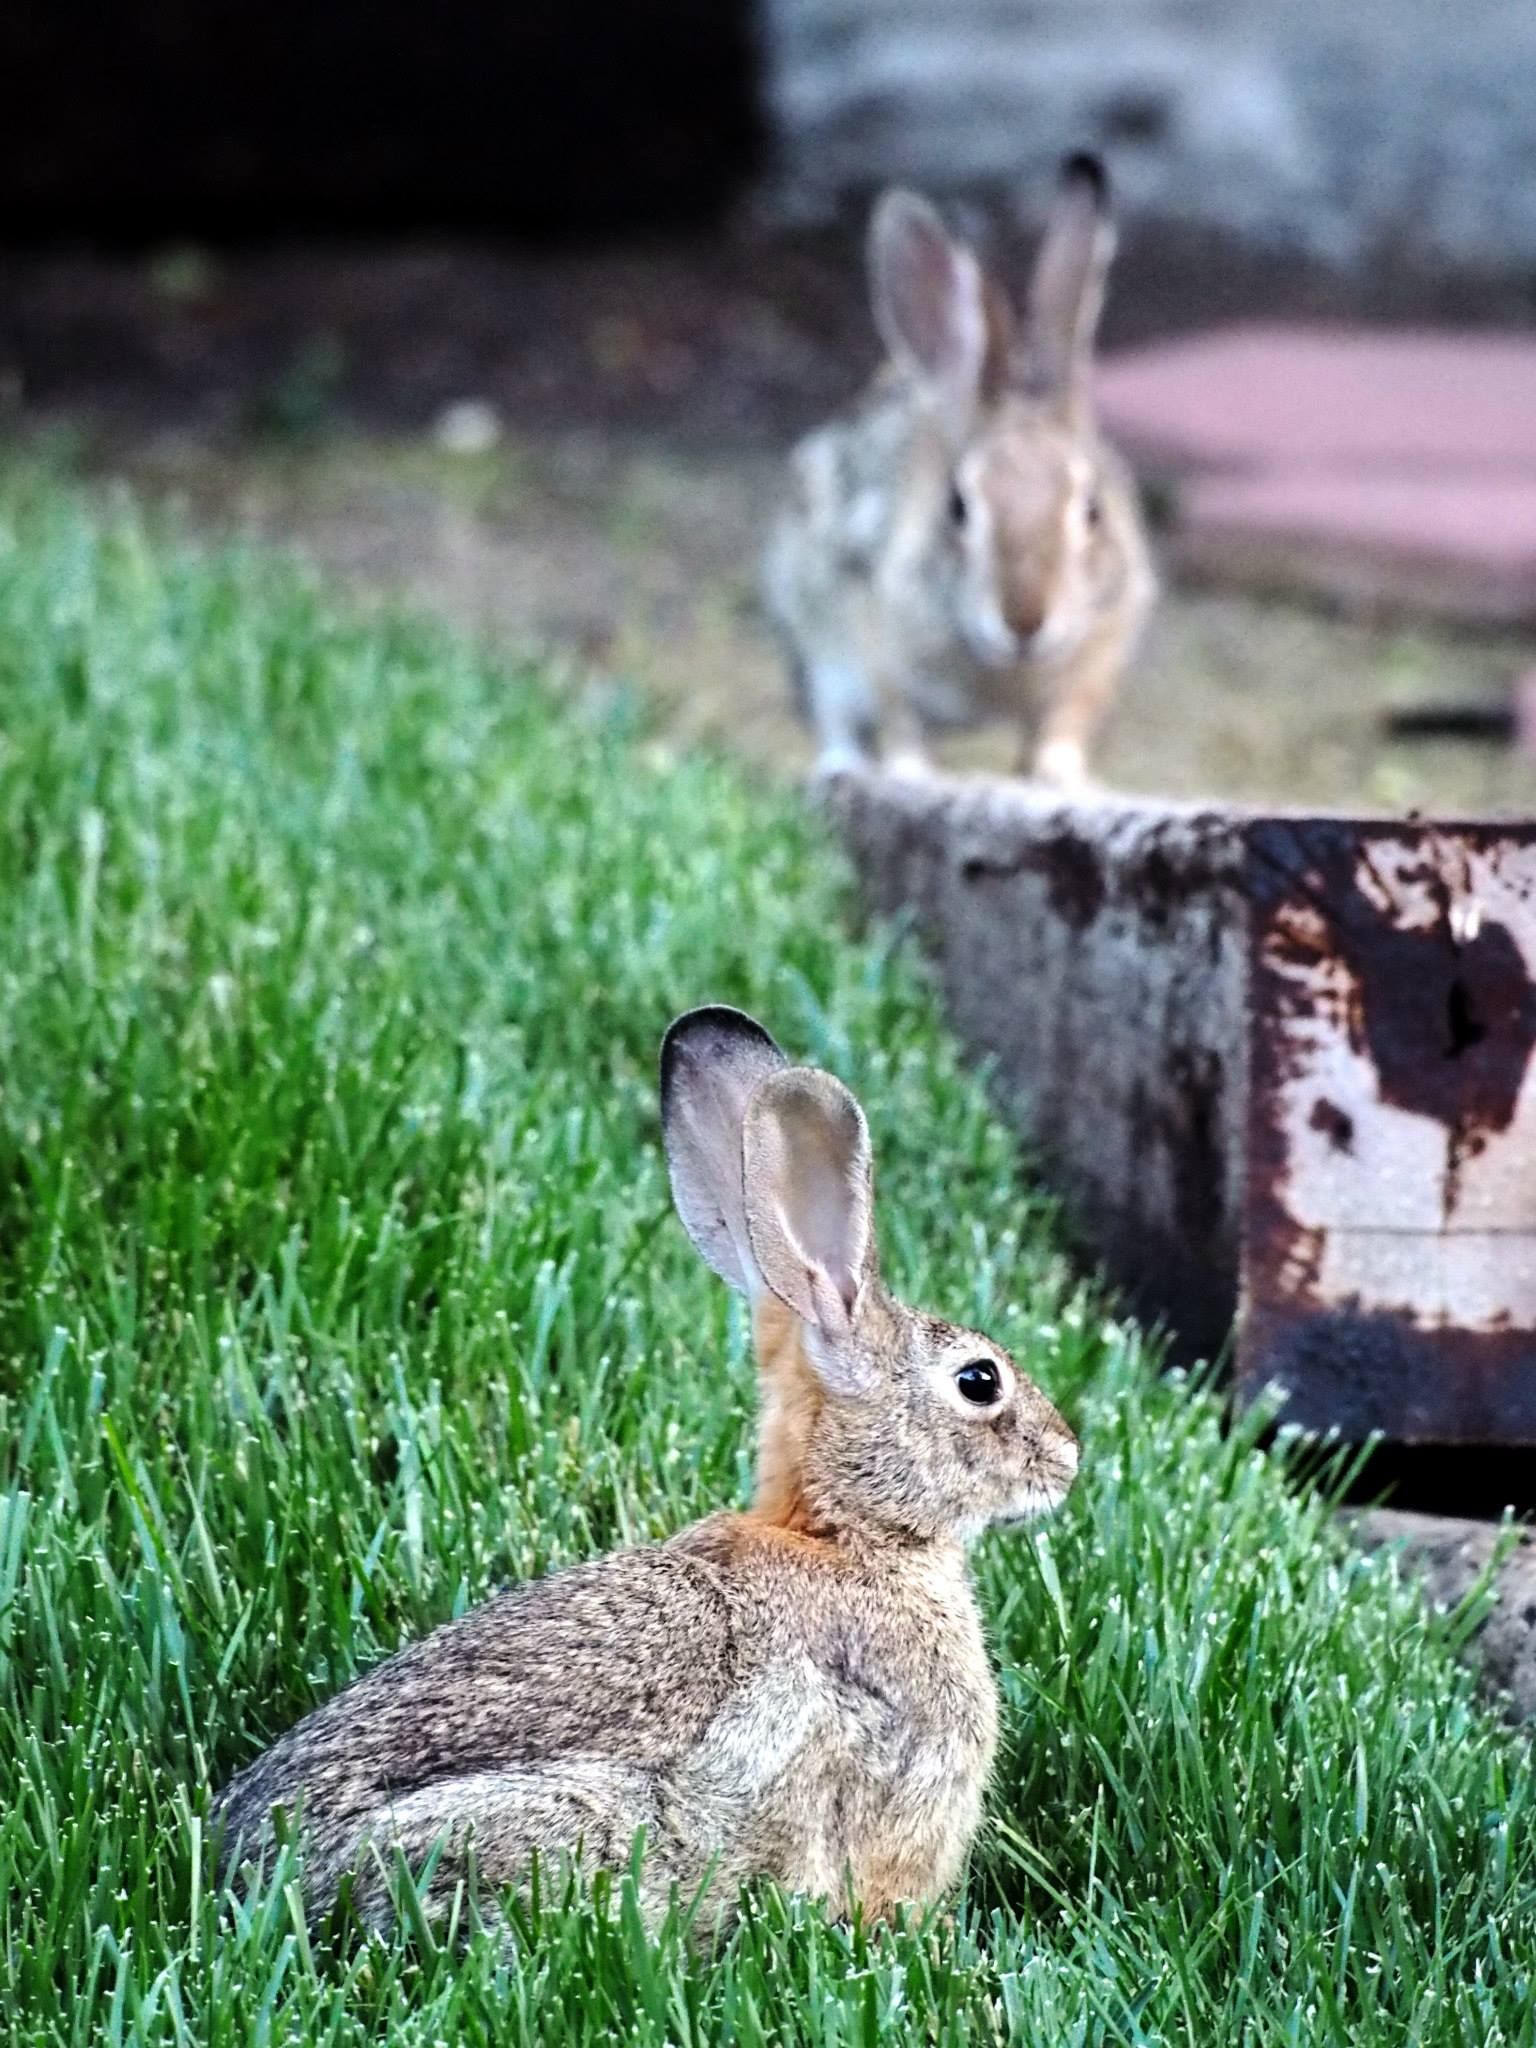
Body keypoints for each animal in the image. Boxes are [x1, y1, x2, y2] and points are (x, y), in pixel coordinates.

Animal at [765, 151, 1163, 786]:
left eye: (1093, 510)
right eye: (956, 508)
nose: (1024, 621)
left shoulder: (1099, 652)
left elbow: (1063, 727)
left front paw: (1064, 777)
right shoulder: (874, 633)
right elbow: (897, 717)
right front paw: (911, 774)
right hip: (808, 624)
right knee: (833, 715)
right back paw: (841, 766)